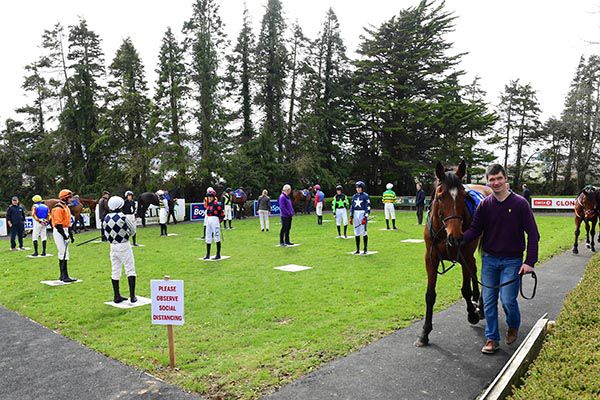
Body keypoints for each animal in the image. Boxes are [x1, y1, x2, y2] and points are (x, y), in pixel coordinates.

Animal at [412, 159, 492, 346]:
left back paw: (480, 305)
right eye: (440, 196)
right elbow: (430, 295)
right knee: (474, 269)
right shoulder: (431, 258)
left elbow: (465, 290)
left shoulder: (464, 256)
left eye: (463, 196)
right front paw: (425, 332)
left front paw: (472, 314)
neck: (443, 233)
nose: (455, 236)